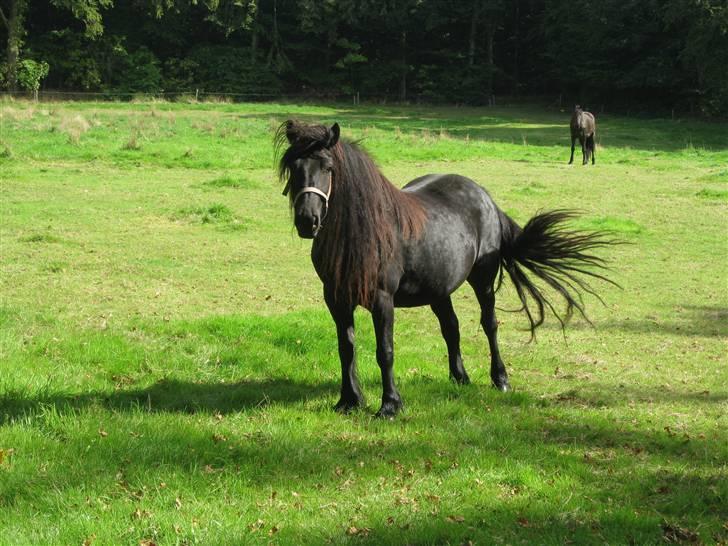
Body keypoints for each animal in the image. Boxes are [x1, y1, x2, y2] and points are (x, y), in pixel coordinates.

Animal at [276, 120, 617, 417]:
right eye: (293, 167)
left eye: (328, 167)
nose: (307, 221)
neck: (363, 232)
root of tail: (485, 197)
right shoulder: (336, 299)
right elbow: (346, 348)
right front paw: (349, 401)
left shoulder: (382, 300)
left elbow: (384, 351)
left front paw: (390, 406)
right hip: (438, 289)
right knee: (451, 327)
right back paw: (459, 377)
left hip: (483, 280)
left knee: (489, 324)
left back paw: (500, 379)